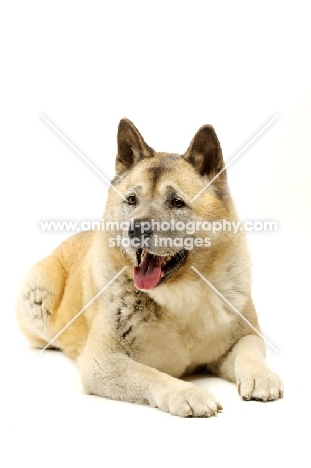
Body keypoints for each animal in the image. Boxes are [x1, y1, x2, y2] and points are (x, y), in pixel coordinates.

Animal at [15, 118, 284, 416]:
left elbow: (249, 351)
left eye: (177, 202)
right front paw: (187, 392)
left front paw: (261, 376)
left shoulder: (245, 337)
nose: (136, 229)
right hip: (37, 294)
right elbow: (152, 375)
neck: (180, 293)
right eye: (132, 200)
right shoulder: (103, 362)